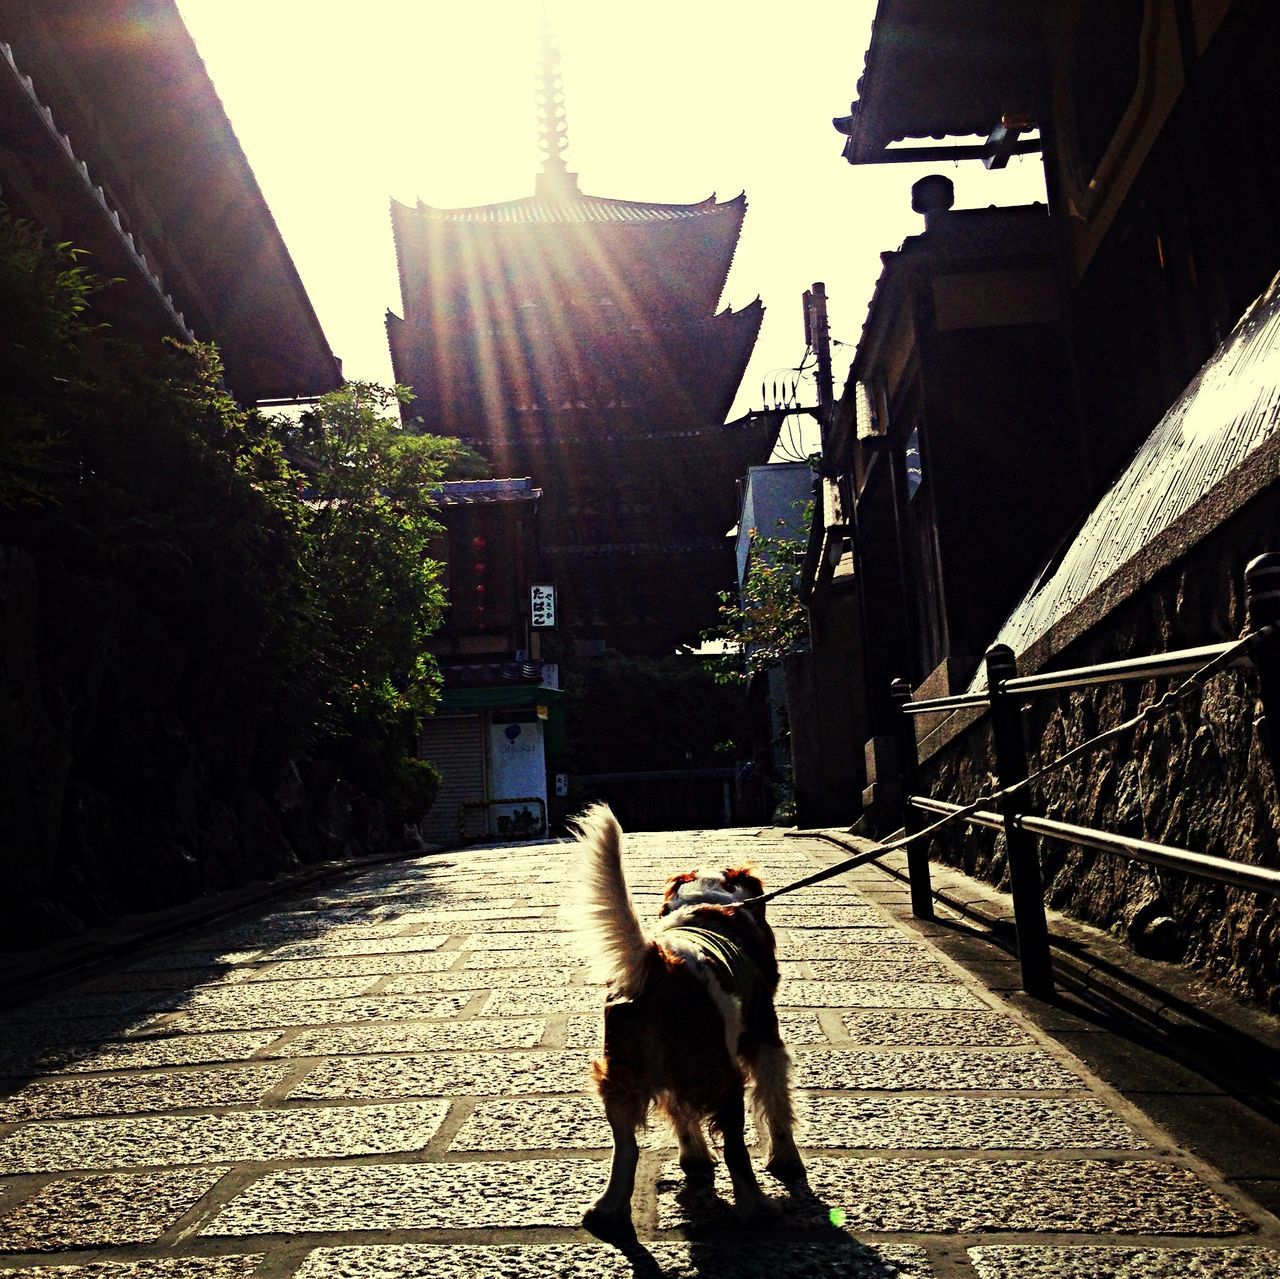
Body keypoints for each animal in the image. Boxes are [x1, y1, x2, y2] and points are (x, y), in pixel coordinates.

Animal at [570, 809, 798, 1239]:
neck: (708, 904)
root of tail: (657, 961)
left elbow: (680, 1113)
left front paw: (693, 1158)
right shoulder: (765, 1039)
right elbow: (776, 1104)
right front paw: (786, 1160)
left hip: (620, 1076)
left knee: (626, 1147)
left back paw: (607, 1211)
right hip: (722, 1073)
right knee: (736, 1149)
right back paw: (758, 1209)